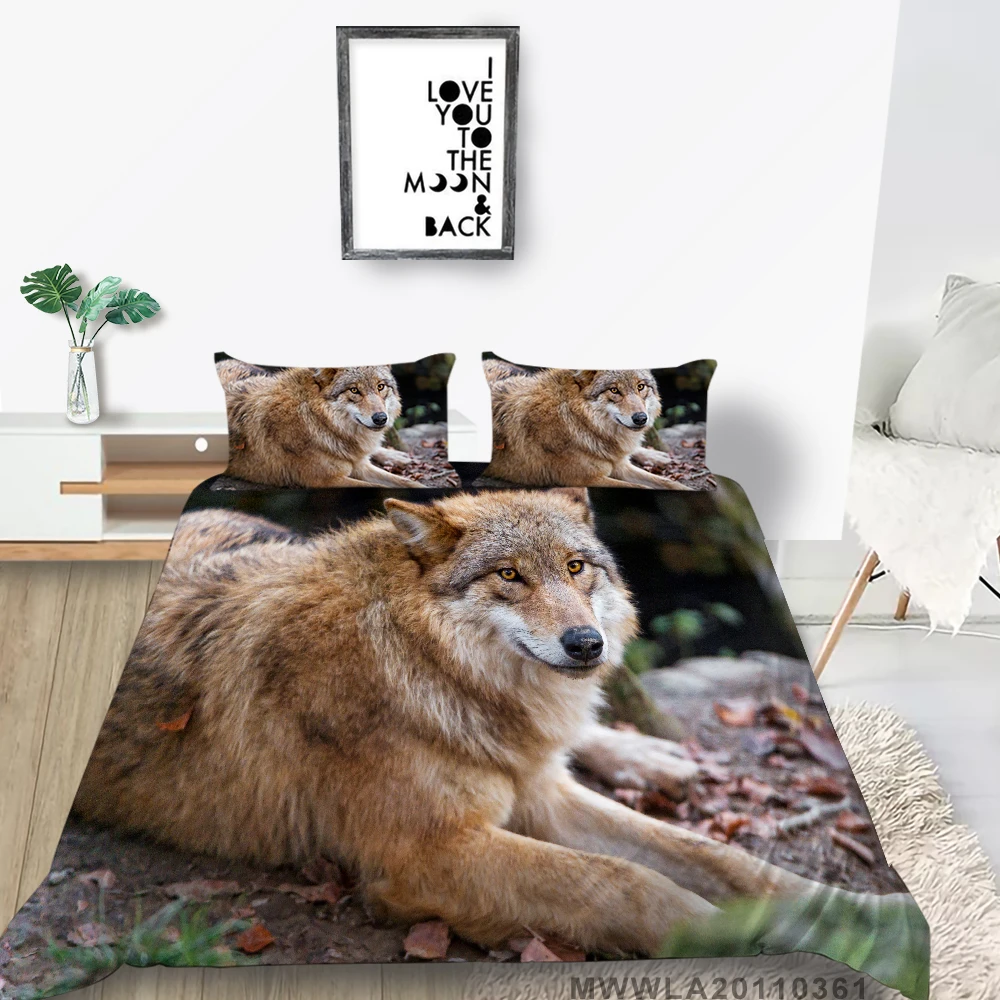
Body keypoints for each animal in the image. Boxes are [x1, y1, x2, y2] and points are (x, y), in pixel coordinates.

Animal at [75, 490, 863, 956]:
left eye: (575, 568)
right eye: (509, 575)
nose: (587, 644)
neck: (422, 666)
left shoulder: (536, 798)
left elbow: (722, 859)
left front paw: (861, 913)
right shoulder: (427, 856)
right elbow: (629, 882)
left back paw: (658, 759)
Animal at [220, 363, 420, 488]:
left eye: (380, 387)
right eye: (354, 390)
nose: (380, 418)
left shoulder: (359, 467)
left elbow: (409, 483)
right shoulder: (326, 481)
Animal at [483, 361, 695, 489]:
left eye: (640, 387)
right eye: (614, 390)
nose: (641, 418)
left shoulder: (619, 467)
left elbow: (669, 483)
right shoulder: (586, 479)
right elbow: (641, 487)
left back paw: (657, 456)